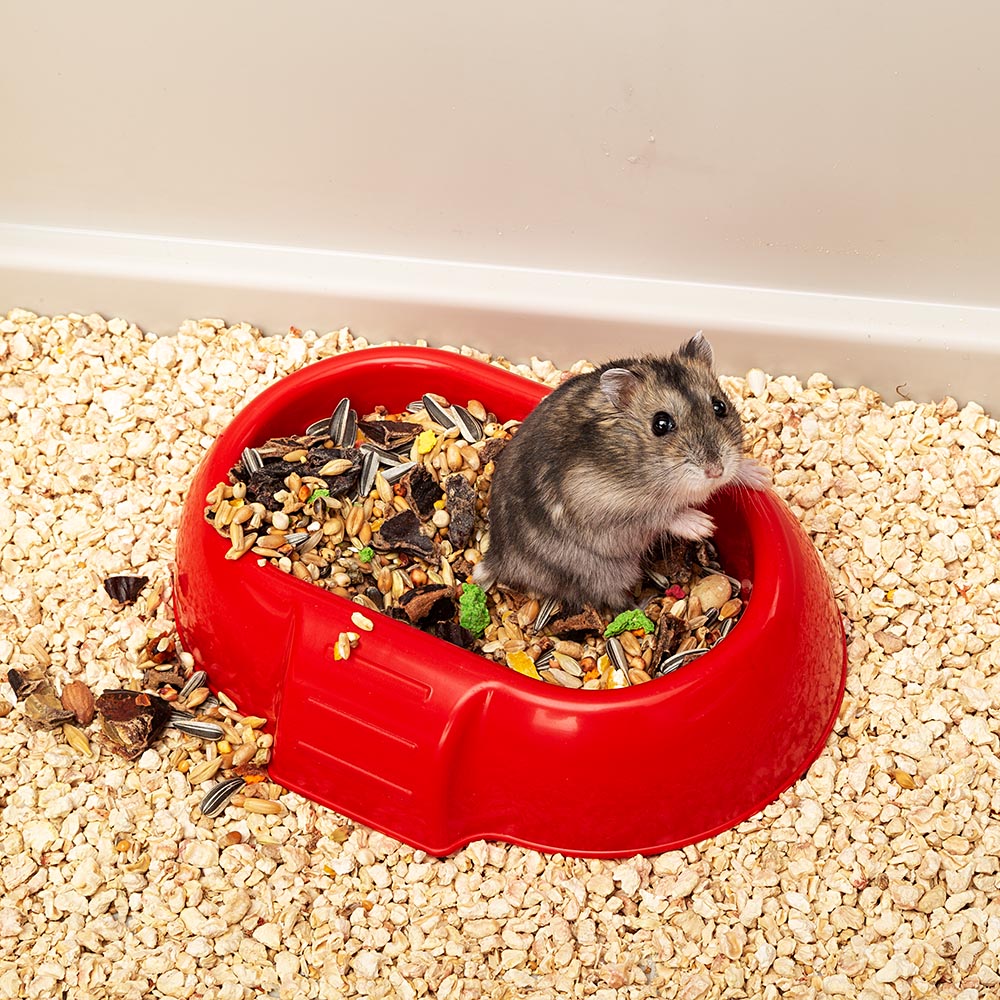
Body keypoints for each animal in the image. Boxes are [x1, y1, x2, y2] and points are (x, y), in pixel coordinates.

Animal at [471, 332, 770, 610]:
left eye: (720, 406)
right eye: (661, 424)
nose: (716, 471)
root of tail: (496, 558)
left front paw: (760, 475)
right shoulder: (607, 508)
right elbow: (661, 515)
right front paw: (704, 525)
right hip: (607, 571)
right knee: (613, 599)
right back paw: (645, 604)